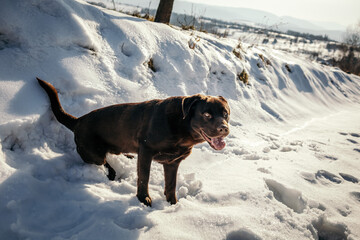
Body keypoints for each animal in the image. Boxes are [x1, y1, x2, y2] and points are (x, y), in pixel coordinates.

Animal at [37, 77, 231, 206]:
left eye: (225, 114)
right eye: (207, 114)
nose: (224, 128)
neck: (181, 128)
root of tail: (78, 120)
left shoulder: (172, 163)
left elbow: (171, 185)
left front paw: (172, 205)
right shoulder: (146, 151)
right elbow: (144, 177)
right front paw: (143, 199)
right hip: (94, 153)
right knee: (103, 162)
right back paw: (112, 173)